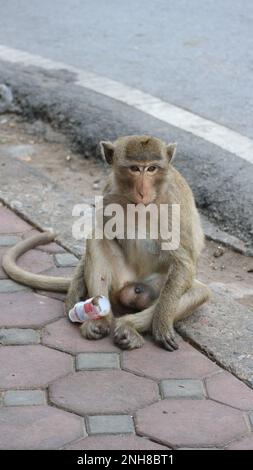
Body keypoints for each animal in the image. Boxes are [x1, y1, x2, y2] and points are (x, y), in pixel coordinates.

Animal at [2, 135, 210, 348]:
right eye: (135, 168)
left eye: (152, 168)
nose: (143, 191)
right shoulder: (108, 192)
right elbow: (101, 231)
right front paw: (73, 295)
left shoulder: (174, 202)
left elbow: (183, 261)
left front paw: (161, 323)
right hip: (120, 279)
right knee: (97, 238)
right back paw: (100, 319)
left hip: (156, 285)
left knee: (198, 292)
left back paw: (128, 326)